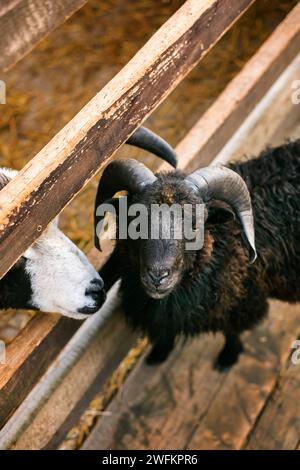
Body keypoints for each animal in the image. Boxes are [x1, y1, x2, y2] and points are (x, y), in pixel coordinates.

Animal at [94, 141, 300, 370]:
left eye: (195, 224)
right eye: (134, 221)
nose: (157, 276)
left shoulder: (242, 303)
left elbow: (232, 332)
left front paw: (227, 358)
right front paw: (159, 354)